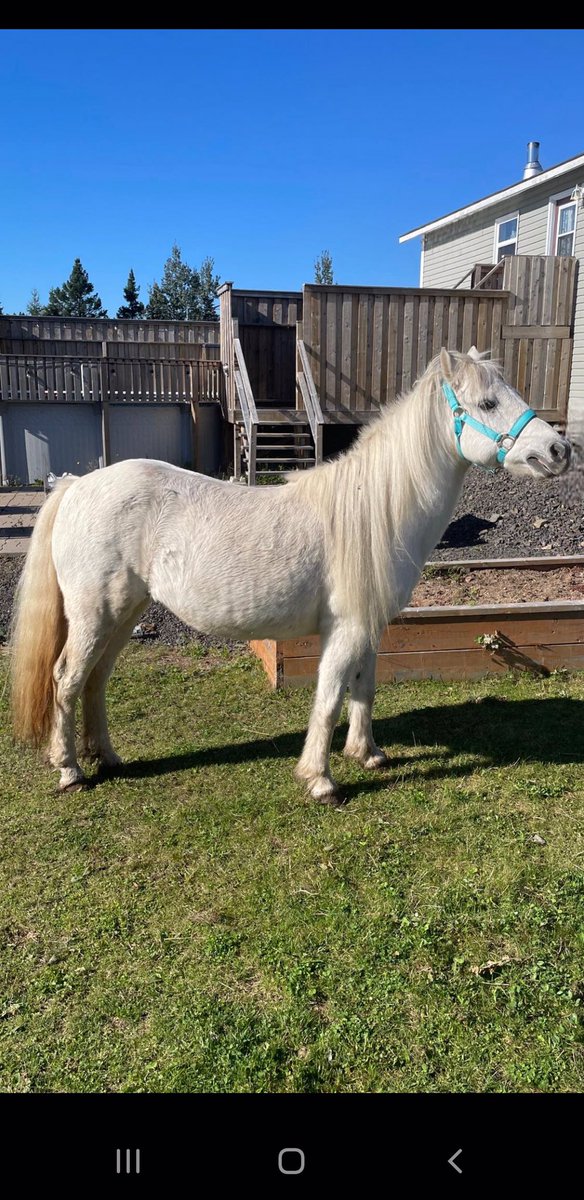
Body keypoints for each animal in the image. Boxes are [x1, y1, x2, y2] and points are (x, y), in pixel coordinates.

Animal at [9, 347, 570, 804]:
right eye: (488, 403)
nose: (560, 450)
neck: (374, 508)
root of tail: (77, 486)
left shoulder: (369, 626)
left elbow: (364, 688)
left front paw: (367, 754)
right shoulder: (344, 628)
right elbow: (329, 698)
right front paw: (321, 781)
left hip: (125, 612)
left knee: (96, 679)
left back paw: (107, 757)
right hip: (94, 614)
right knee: (67, 678)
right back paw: (70, 771)